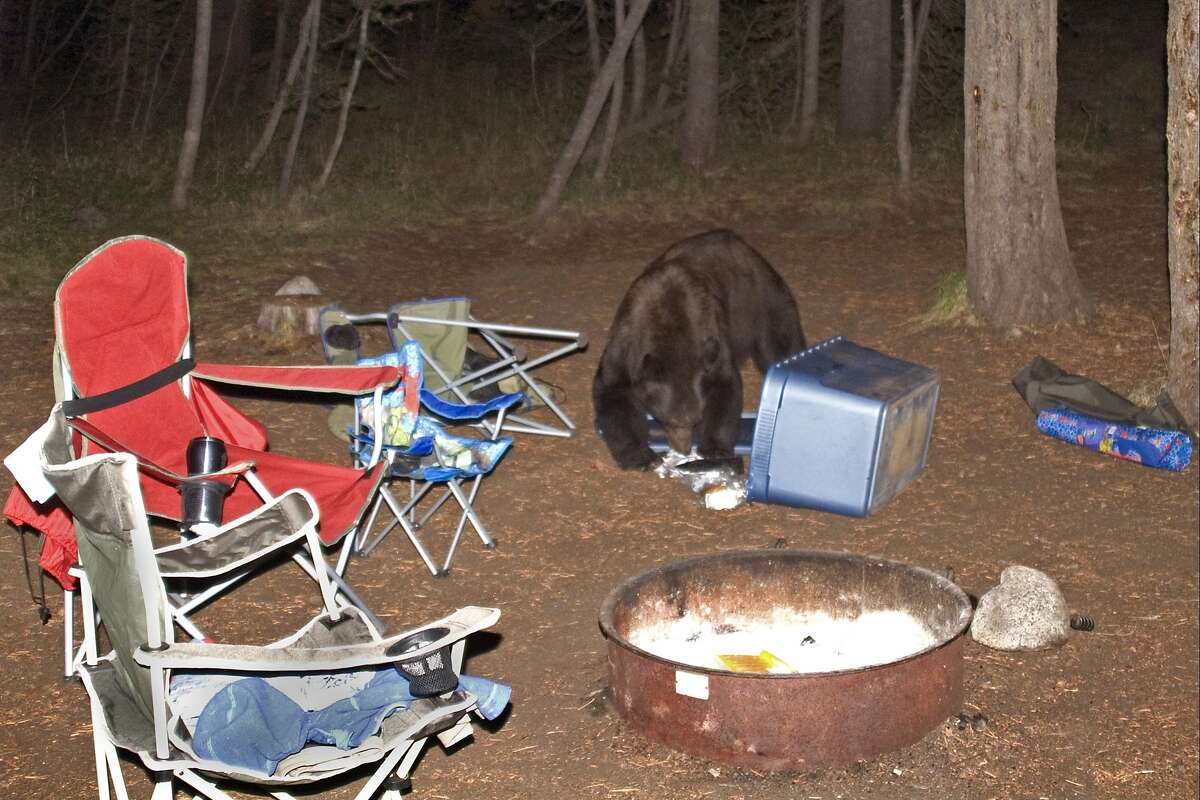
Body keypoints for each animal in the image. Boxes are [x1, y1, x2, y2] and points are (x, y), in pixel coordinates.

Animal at [593, 229, 806, 470]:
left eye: (695, 420)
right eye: (669, 419)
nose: (684, 449)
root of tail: (743, 245)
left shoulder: (710, 338)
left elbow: (724, 385)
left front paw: (715, 448)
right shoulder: (624, 346)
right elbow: (614, 393)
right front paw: (641, 456)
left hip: (764, 300)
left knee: (780, 344)